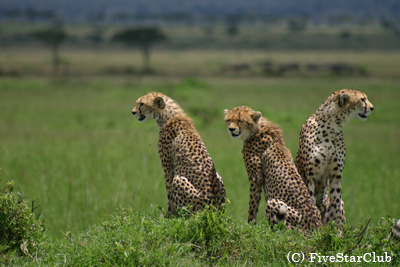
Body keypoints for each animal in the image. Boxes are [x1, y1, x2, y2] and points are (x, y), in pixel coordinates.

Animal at [296, 90, 374, 228]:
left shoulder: (336, 175)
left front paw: (337, 231)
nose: (372, 108)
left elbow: (336, 205)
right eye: (362, 99)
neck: (331, 127)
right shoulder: (309, 176)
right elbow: (311, 202)